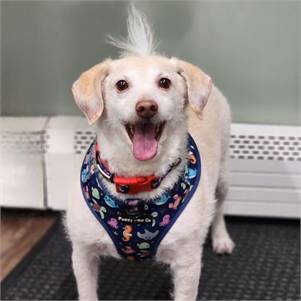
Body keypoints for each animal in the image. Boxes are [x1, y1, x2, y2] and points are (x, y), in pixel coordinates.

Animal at [66, 5, 234, 300]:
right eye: (121, 85)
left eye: (165, 82)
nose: (146, 107)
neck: (136, 182)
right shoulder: (82, 253)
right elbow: (87, 290)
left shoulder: (187, 263)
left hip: (223, 177)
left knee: (220, 207)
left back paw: (221, 237)